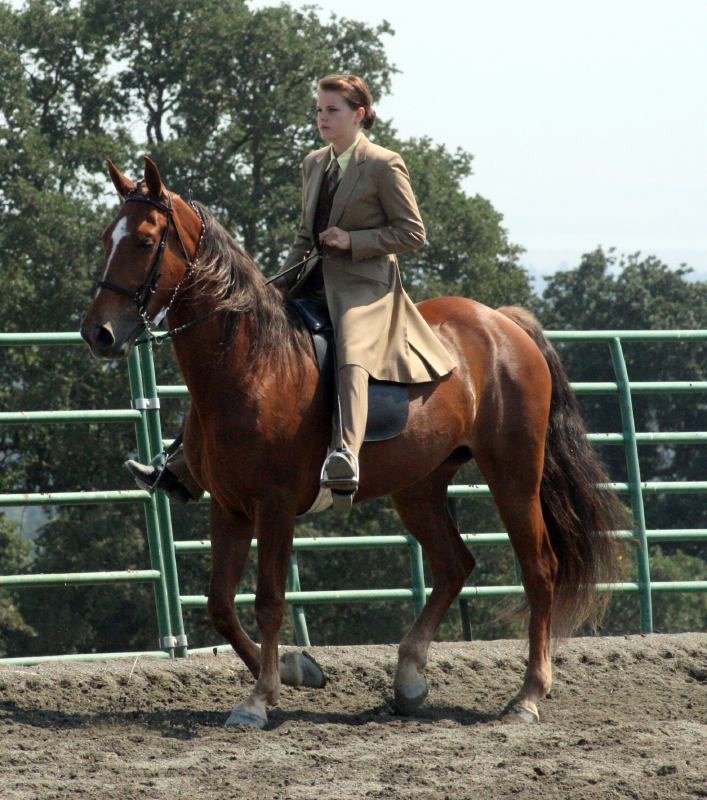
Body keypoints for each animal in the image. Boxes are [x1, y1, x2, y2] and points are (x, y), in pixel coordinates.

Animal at [81, 157, 625, 729]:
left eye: (144, 241)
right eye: (105, 238)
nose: (97, 333)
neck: (251, 364)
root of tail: (503, 323)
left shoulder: (274, 506)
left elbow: (269, 600)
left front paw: (259, 698)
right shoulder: (228, 508)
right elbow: (221, 605)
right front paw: (296, 670)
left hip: (514, 475)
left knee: (539, 569)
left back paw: (528, 695)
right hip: (419, 487)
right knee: (454, 564)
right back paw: (409, 679)